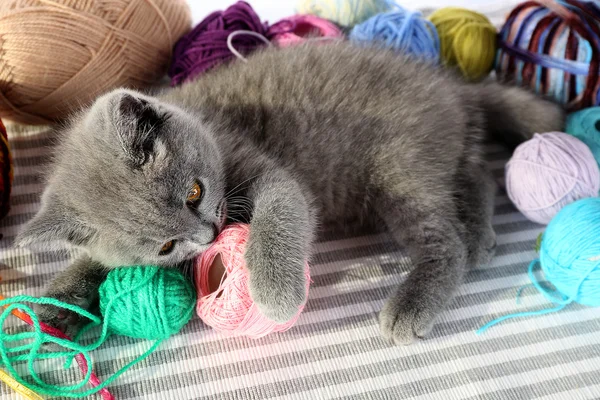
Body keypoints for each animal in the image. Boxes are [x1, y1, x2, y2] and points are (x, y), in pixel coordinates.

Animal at [17, 43, 564, 344]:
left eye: (195, 191)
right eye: (167, 247)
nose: (209, 234)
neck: (207, 121)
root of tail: (451, 87)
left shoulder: (266, 171)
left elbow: (280, 215)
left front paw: (276, 294)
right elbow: (91, 263)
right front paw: (51, 309)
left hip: (400, 168)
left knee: (444, 237)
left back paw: (417, 298)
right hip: (435, 155)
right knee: (477, 172)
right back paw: (482, 233)